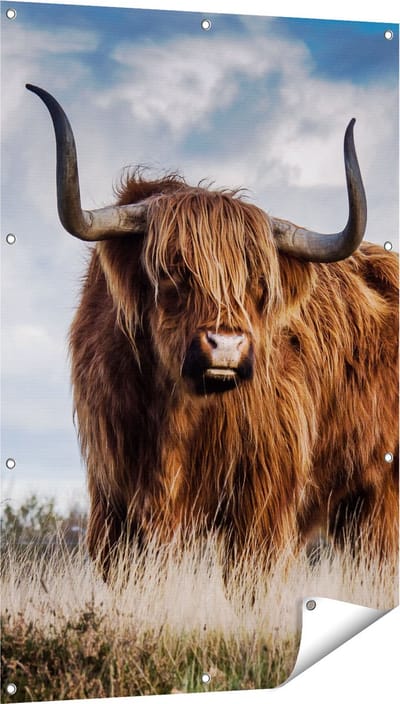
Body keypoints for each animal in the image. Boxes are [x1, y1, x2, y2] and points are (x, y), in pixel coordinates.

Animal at [27, 84, 399, 577]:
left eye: (258, 282)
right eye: (172, 270)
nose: (226, 346)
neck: (176, 413)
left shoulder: (262, 504)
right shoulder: (115, 501)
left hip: (381, 497)